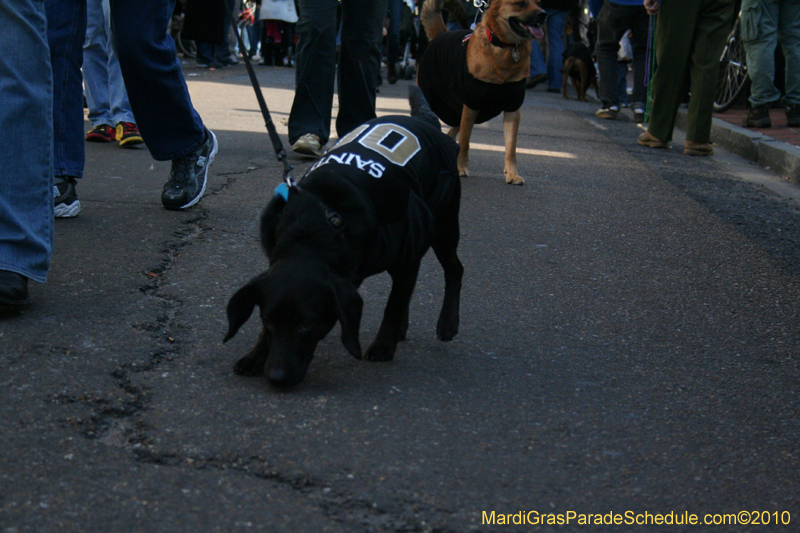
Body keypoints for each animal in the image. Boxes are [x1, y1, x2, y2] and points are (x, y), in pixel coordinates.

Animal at [223, 86, 462, 386]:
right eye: (268, 320)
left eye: (307, 324)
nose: (277, 377)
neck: (316, 230)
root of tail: (425, 121)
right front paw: (255, 355)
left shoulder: (408, 252)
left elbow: (394, 305)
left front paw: (383, 345)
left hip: (443, 227)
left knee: (453, 270)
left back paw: (447, 323)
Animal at [416, 0, 548, 185]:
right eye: (520, 4)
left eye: (539, 3)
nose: (543, 15)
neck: (503, 47)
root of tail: (441, 34)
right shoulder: (471, 106)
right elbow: (465, 141)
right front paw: (461, 167)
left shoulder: (512, 109)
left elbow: (511, 148)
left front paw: (512, 174)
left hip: (459, 111)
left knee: (450, 133)